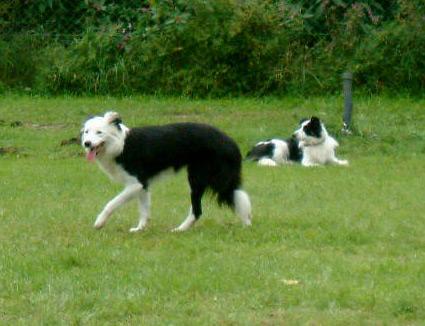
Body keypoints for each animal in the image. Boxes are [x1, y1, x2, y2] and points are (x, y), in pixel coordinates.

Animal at [81, 111, 250, 232]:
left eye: (99, 132)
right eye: (86, 132)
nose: (87, 143)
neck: (120, 146)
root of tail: (231, 143)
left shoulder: (136, 183)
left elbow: (111, 203)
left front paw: (99, 222)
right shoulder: (143, 185)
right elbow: (144, 209)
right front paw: (140, 228)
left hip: (202, 178)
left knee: (202, 208)